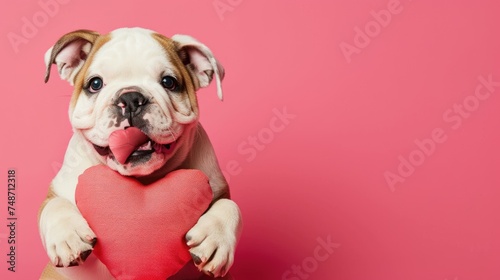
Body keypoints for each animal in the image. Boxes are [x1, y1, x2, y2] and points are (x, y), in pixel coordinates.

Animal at [38, 27, 241, 278]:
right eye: (95, 84)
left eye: (169, 82)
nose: (131, 98)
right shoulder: (58, 189)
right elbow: (53, 206)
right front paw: (67, 237)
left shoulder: (218, 187)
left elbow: (230, 206)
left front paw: (216, 237)